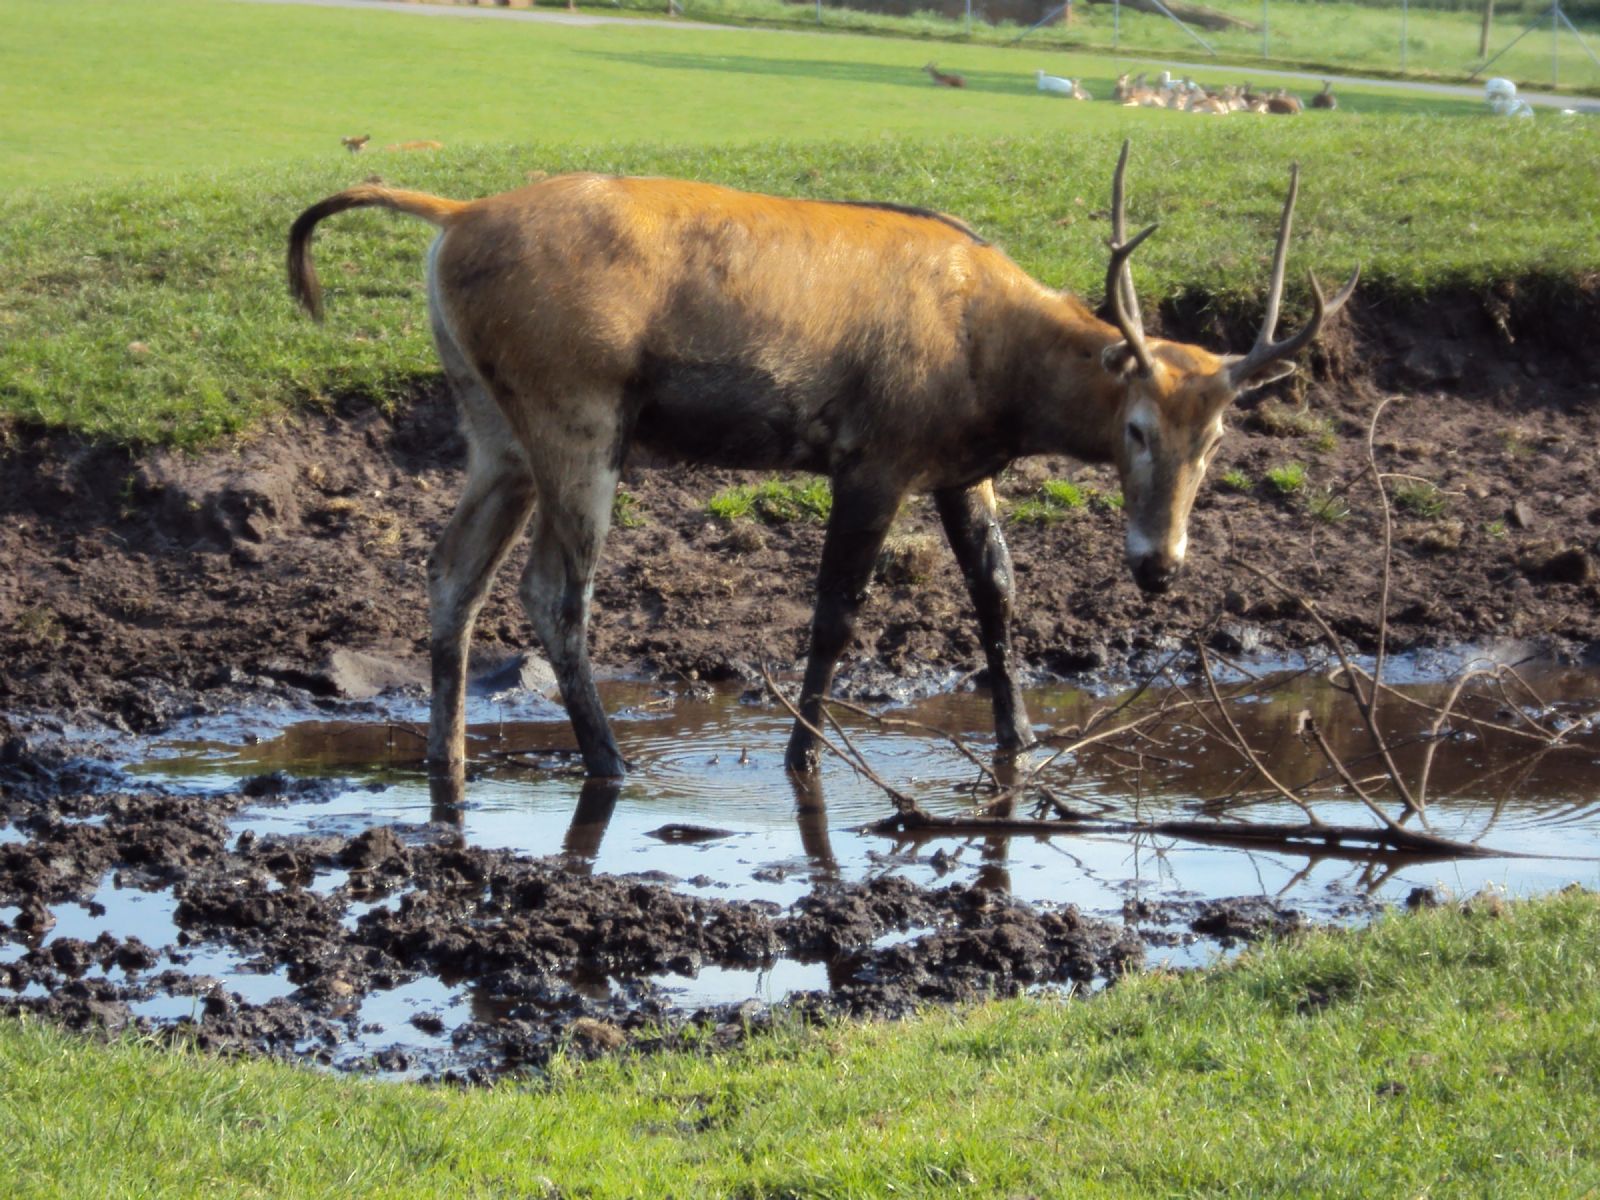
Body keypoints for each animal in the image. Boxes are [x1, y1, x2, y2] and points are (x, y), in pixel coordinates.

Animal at [284, 138, 1350, 790]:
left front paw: (1022, 737)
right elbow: (838, 612)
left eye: (1216, 438)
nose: (1158, 563)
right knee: (554, 591)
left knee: (451, 573)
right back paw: (611, 763)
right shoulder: (875, 457)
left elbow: (999, 594)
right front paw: (802, 753)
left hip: (491, 425)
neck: (1000, 372)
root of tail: (452, 216)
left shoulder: (960, 468)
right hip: (577, 413)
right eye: (1134, 426)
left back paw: (450, 762)